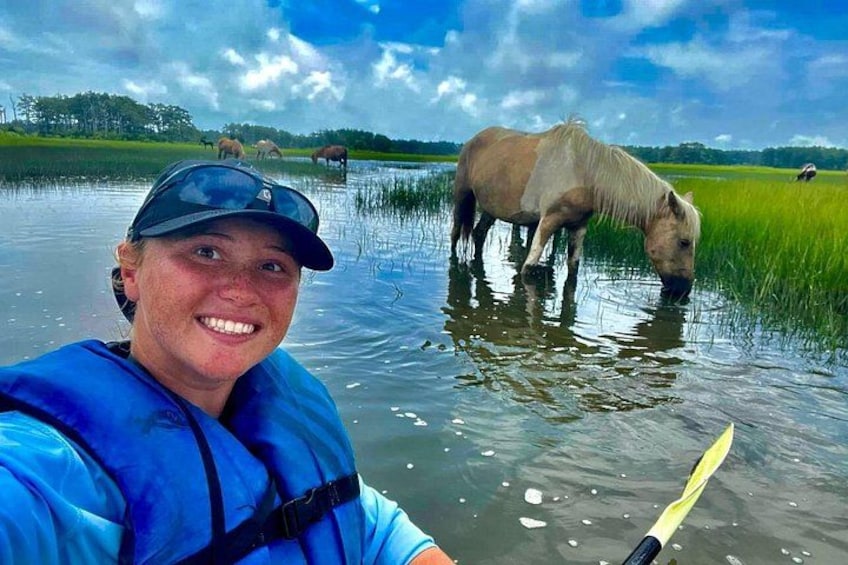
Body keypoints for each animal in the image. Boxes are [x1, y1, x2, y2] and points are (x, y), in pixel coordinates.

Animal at [450, 119, 701, 298]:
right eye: (684, 242)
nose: (683, 290)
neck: (584, 172)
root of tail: (473, 140)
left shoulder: (578, 227)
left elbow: (573, 271)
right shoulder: (548, 221)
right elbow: (528, 269)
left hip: (491, 208)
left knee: (479, 234)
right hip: (462, 195)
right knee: (455, 235)